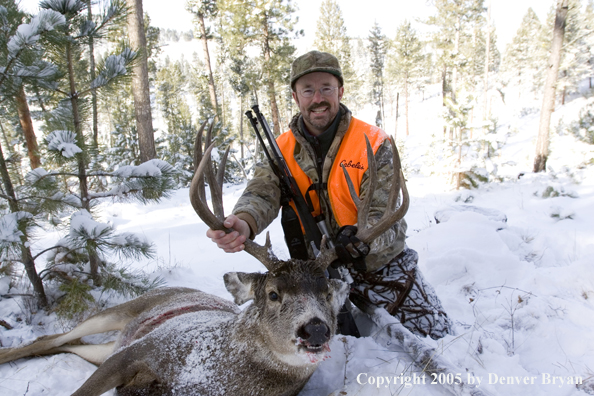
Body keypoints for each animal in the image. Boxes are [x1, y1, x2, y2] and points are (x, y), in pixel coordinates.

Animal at [0, 121, 408, 396]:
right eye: (273, 294)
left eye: (327, 294)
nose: (316, 329)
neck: (218, 377)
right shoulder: (139, 350)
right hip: (125, 310)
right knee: (50, 338)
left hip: (103, 346)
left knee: (62, 344)